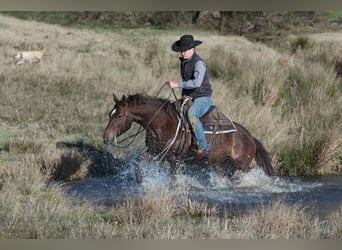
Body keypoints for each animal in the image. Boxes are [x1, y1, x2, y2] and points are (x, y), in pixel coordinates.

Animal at [102, 93, 276, 183]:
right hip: (221, 164)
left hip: (242, 163)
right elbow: (137, 161)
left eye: (119, 116)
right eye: (110, 113)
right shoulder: (155, 153)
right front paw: (140, 180)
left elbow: (173, 178)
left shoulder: (175, 159)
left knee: (254, 171)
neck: (163, 123)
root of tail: (250, 136)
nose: (105, 137)